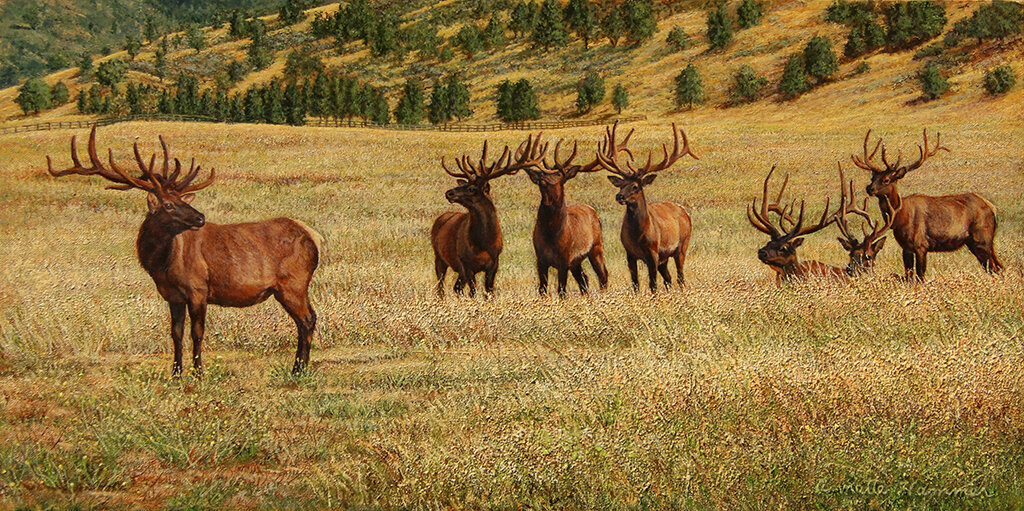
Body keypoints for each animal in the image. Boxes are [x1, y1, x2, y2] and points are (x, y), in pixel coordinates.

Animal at [45, 128, 319, 376]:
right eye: (168, 204)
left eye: (181, 200)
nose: (200, 217)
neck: (161, 266)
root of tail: (314, 237)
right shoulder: (172, 295)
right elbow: (175, 333)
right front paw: (175, 373)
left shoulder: (198, 288)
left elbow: (196, 332)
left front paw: (198, 372)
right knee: (309, 318)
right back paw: (300, 367)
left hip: (292, 283)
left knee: (306, 320)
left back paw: (298, 369)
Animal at [428, 134, 548, 299]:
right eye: (463, 184)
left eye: (472, 188)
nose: (449, 193)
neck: (483, 243)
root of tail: (441, 217)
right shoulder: (465, 263)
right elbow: (473, 292)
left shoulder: (493, 264)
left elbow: (489, 291)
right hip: (438, 256)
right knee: (441, 287)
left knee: (456, 287)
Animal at [528, 130, 630, 299]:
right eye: (542, 180)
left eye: (560, 178)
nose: (548, 202)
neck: (551, 234)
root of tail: (592, 209)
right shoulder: (540, 259)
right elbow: (542, 290)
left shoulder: (564, 259)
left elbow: (561, 291)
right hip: (576, 261)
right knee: (584, 279)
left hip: (596, 246)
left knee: (603, 274)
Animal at [598, 121, 700, 294]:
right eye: (621, 185)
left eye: (635, 186)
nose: (619, 196)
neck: (638, 235)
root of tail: (684, 211)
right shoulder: (629, 253)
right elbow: (635, 284)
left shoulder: (653, 251)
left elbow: (653, 284)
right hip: (664, 257)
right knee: (669, 279)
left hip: (682, 246)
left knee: (680, 277)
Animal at [851, 128, 1003, 280]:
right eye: (872, 177)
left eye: (886, 179)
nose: (869, 188)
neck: (900, 218)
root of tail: (993, 208)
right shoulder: (906, 248)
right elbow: (909, 275)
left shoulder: (921, 245)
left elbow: (920, 276)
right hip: (977, 242)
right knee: (999, 267)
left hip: (981, 239)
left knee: (995, 268)